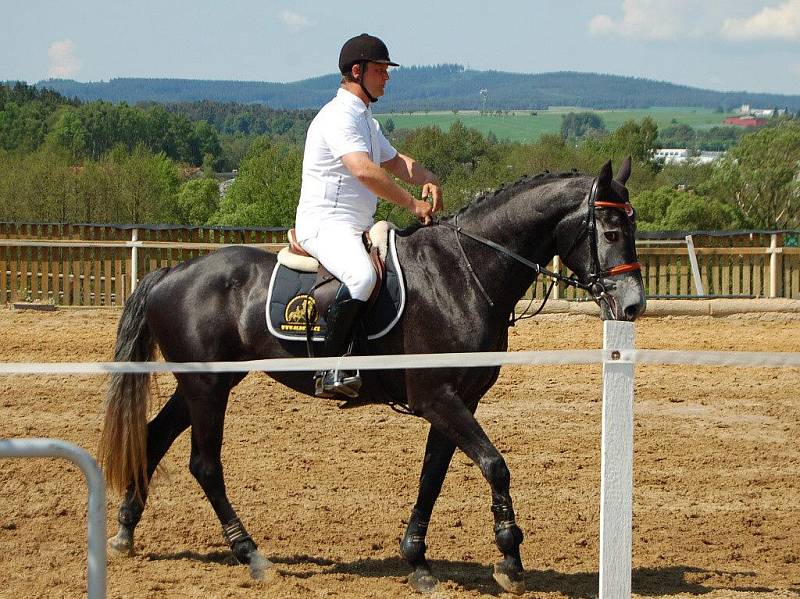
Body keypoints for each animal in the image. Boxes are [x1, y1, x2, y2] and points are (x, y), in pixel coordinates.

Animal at [98, 158, 644, 596]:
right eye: (611, 232)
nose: (634, 305)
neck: (464, 272)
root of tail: (172, 273)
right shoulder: (438, 397)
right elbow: (494, 465)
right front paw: (509, 559)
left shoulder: (457, 400)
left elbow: (432, 476)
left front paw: (418, 561)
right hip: (208, 387)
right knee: (205, 465)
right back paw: (252, 556)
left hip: (202, 385)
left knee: (154, 436)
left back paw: (125, 532)